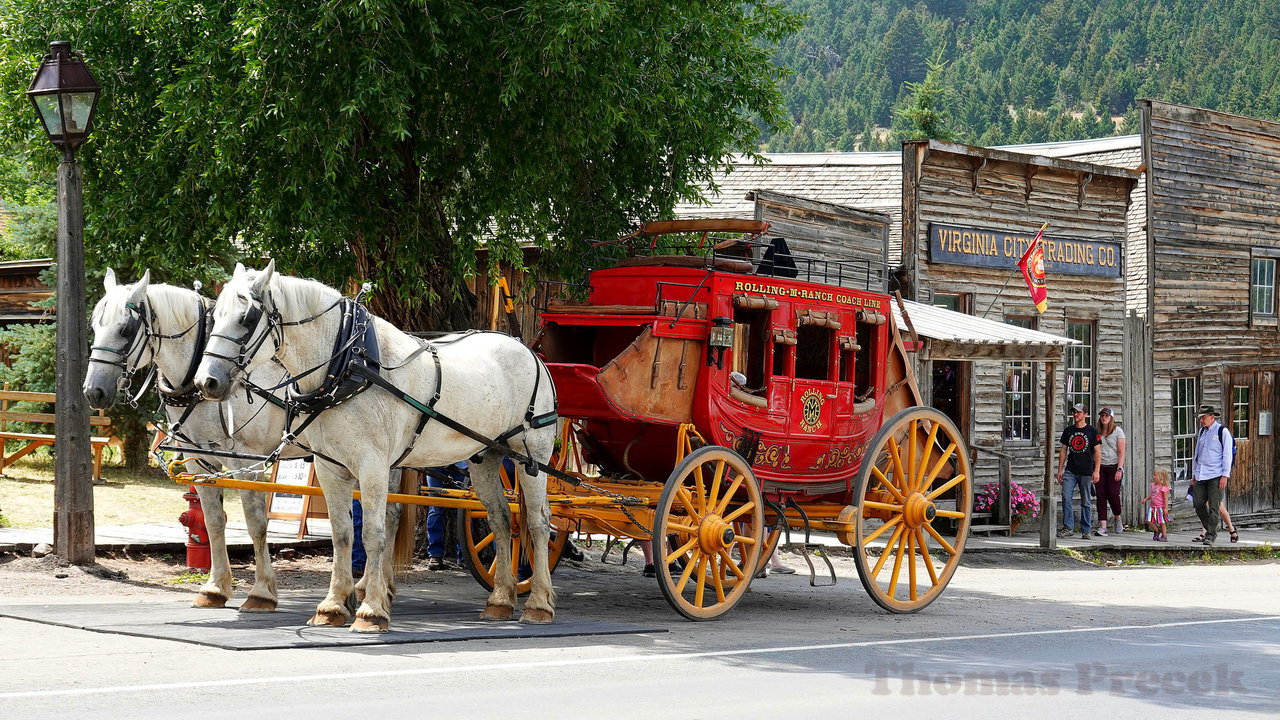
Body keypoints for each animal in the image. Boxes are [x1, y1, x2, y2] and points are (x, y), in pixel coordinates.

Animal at [82, 269, 396, 609]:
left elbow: (256, 524)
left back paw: (374, 587)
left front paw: (262, 591)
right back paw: (377, 586)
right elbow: (213, 522)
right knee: (389, 514)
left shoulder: (247, 463)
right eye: (94, 325)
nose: (93, 391)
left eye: (126, 328)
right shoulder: (200, 464)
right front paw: (215, 587)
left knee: (388, 516)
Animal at [194, 262, 555, 627]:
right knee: (502, 520)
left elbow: (373, 533)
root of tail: (527, 351)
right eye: (215, 315)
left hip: (531, 456)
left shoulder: (373, 466)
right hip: (486, 457)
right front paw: (332, 605)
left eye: (247, 318)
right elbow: (342, 534)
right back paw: (501, 600)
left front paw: (371, 610)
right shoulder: (330, 467)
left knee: (538, 523)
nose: (206, 381)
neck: (348, 365)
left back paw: (539, 603)